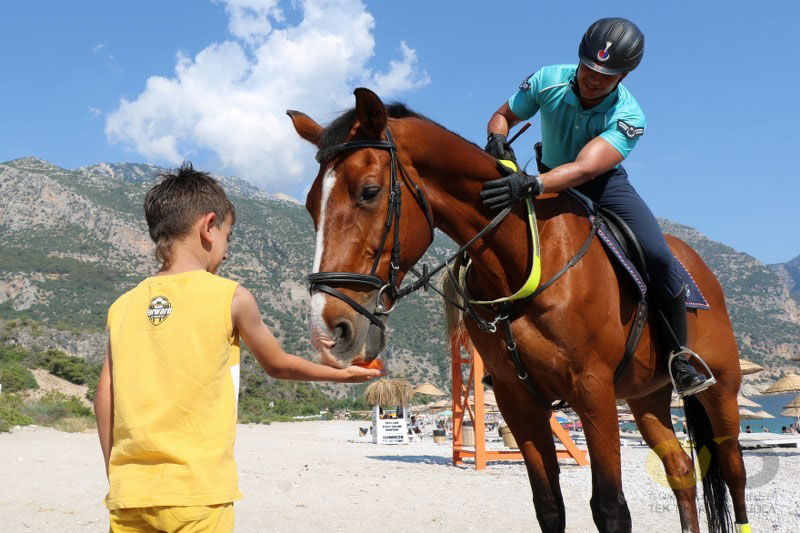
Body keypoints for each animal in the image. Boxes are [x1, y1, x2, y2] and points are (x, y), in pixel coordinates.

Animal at [290, 88, 752, 532]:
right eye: (311, 204)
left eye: (368, 192)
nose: (327, 327)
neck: (526, 259)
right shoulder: (518, 401)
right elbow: (548, 506)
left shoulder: (594, 393)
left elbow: (611, 510)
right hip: (647, 396)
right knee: (680, 468)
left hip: (721, 390)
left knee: (734, 471)